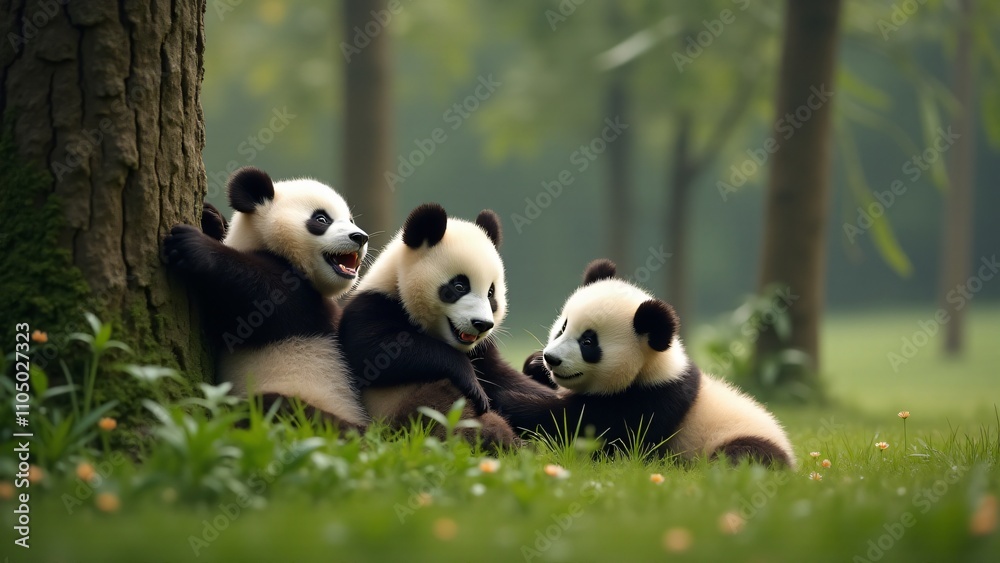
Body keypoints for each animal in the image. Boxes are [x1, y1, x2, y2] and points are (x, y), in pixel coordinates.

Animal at [163, 166, 370, 432]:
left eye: (351, 220)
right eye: (322, 219)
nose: (360, 237)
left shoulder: (306, 304)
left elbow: (259, 298)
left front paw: (193, 245)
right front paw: (210, 218)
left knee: (277, 408)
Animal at [337, 203, 517, 448]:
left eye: (491, 292)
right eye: (459, 286)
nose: (481, 324)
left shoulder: (482, 350)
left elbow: (508, 380)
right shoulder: (372, 306)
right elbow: (371, 352)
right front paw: (474, 385)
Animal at [493, 259, 796, 468]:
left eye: (588, 342)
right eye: (563, 327)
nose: (551, 358)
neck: (651, 367)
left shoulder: (653, 400)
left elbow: (585, 428)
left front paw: (509, 402)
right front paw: (534, 366)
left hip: (742, 440)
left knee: (742, 457)